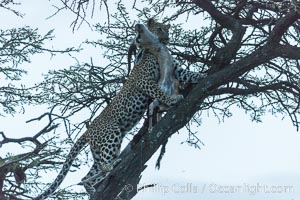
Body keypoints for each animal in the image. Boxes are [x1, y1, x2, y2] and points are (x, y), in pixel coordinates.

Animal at [32, 22, 183, 200]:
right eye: (160, 29)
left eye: (167, 29)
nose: (167, 38)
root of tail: (87, 131)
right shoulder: (145, 81)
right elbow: (159, 92)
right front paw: (173, 100)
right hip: (112, 135)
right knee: (103, 165)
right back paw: (113, 165)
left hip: (100, 149)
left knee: (86, 175)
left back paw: (93, 190)